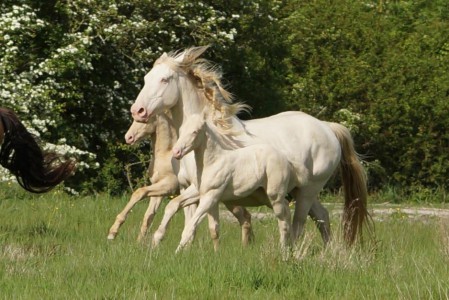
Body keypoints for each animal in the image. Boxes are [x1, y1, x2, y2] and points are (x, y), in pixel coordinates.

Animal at [172, 113, 294, 252]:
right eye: (181, 131)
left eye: (195, 131)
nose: (176, 152)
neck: (213, 163)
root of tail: (284, 157)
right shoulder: (210, 199)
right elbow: (214, 229)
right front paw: (217, 253)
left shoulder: (210, 197)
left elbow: (190, 226)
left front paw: (177, 253)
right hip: (264, 196)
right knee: (286, 211)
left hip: (275, 195)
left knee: (282, 219)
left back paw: (283, 250)